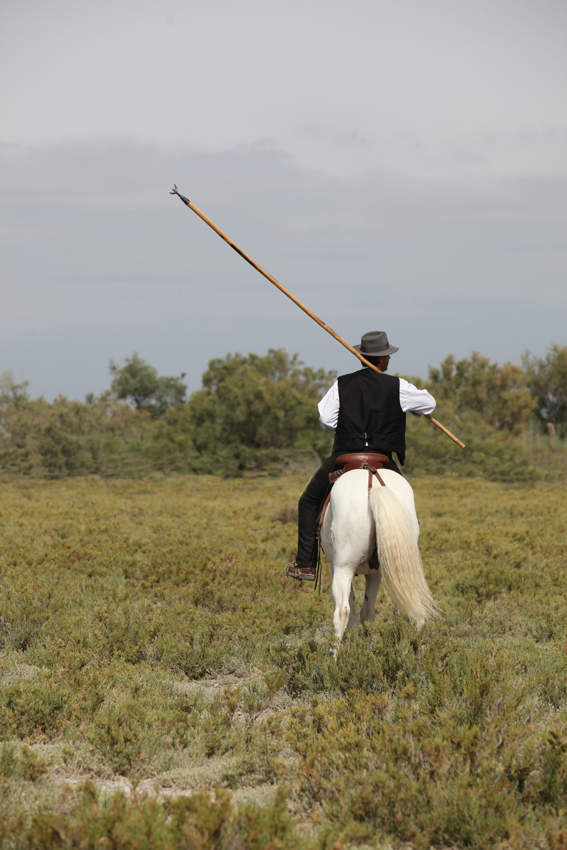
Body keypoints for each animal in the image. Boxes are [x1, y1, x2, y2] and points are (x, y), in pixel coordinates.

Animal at [320, 468, 440, 640]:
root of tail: (374, 485)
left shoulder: (335, 566)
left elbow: (354, 613)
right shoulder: (375, 572)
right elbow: (367, 614)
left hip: (343, 567)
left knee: (342, 612)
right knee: (415, 609)